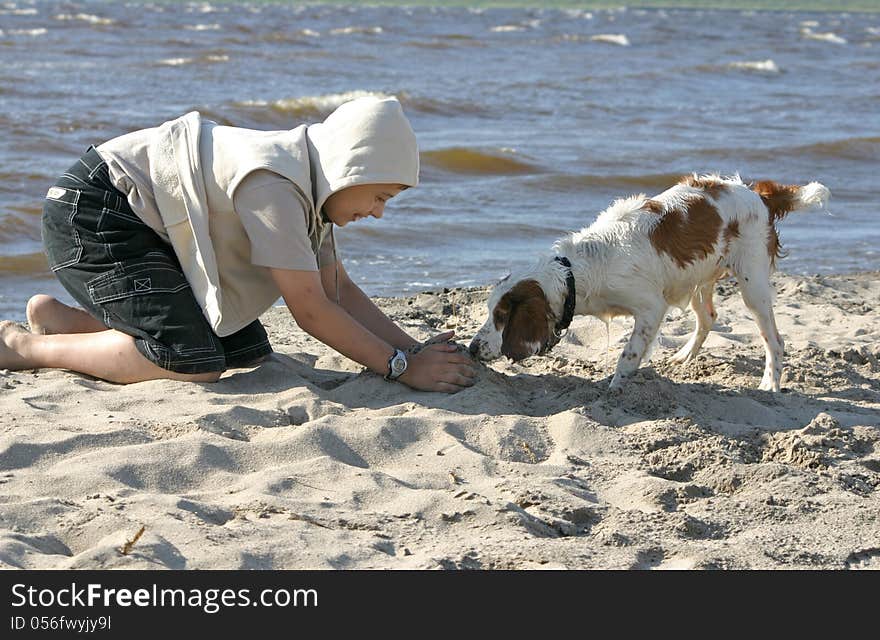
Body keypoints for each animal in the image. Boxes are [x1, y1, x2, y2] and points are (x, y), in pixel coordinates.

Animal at [470, 176, 828, 396]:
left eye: (501, 317)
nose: (472, 348)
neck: (581, 268)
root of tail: (759, 194)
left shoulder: (651, 308)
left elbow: (628, 354)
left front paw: (615, 389)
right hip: (697, 280)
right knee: (708, 318)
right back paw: (685, 356)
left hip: (752, 287)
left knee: (775, 341)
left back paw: (770, 384)